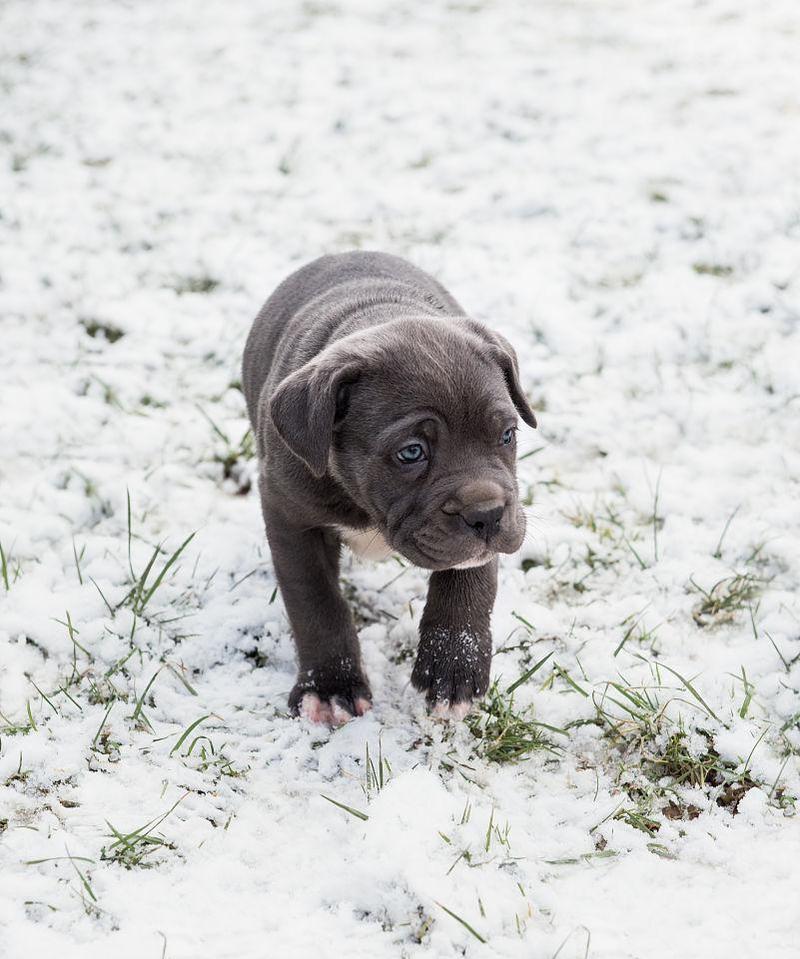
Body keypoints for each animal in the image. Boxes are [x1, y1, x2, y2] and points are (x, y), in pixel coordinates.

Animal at [241, 251, 536, 724]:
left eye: (507, 434)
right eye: (411, 452)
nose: (487, 516)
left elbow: (469, 580)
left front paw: (453, 666)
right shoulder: (290, 516)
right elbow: (315, 600)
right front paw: (330, 687)